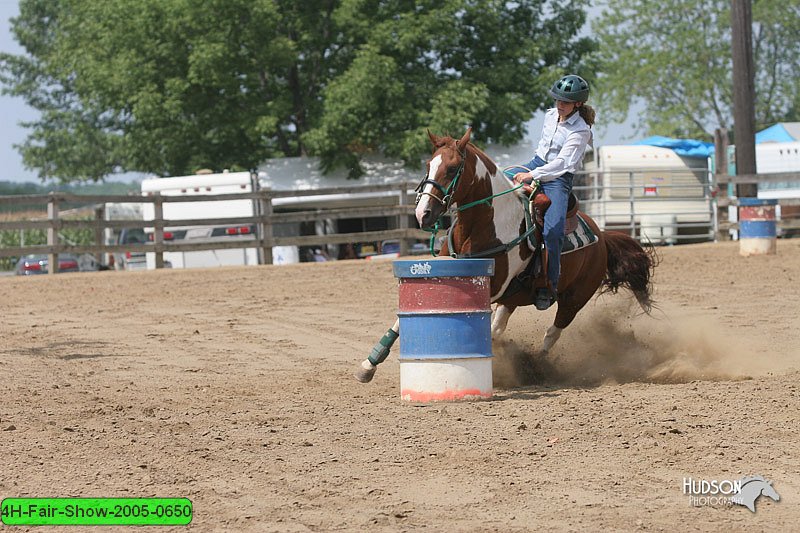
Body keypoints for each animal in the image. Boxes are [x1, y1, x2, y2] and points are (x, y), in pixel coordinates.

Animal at [356, 126, 656, 380]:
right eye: (429, 165)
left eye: (452, 168)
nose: (423, 214)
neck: (483, 226)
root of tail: (601, 237)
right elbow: (400, 320)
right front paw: (368, 364)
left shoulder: (493, 287)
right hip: (515, 297)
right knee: (500, 328)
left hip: (574, 299)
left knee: (552, 332)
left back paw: (536, 367)